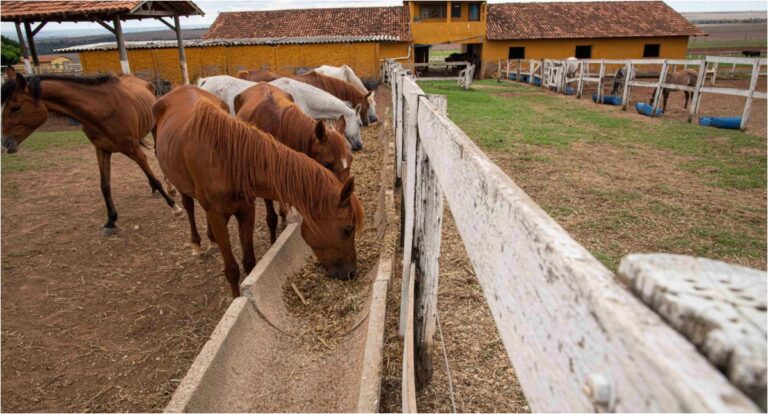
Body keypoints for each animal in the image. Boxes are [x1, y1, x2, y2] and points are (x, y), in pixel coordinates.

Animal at [154, 85, 364, 298]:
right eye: (347, 229)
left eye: (351, 159)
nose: (351, 272)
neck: (228, 160)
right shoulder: (222, 214)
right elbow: (232, 268)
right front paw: (237, 298)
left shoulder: (247, 209)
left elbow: (249, 262)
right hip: (180, 184)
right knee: (188, 205)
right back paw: (196, 243)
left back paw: (211, 239)